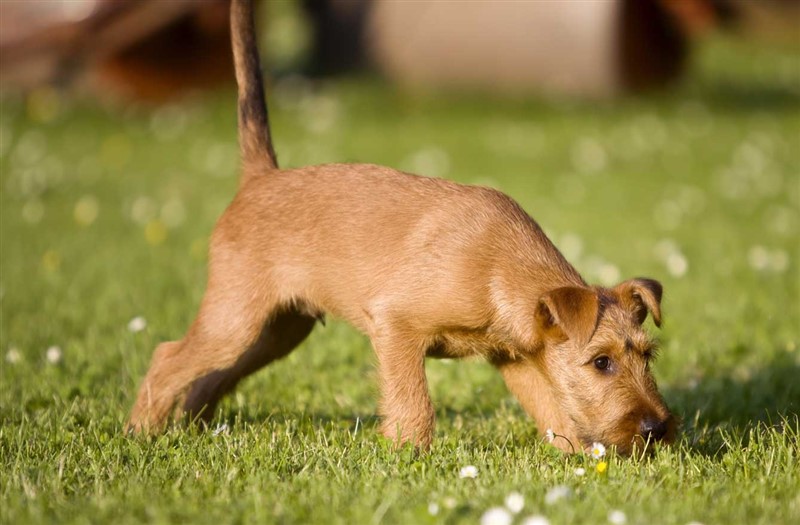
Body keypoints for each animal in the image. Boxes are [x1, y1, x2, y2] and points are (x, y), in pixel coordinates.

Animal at [126, 0, 676, 454]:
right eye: (601, 362)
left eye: (648, 356)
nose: (657, 430)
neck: (501, 268)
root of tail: (262, 176)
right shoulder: (396, 325)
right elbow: (414, 404)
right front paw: (409, 457)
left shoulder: (519, 359)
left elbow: (553, 412)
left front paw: (579, 462)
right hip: (237, 318)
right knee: (168, 356)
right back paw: (140, 432)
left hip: (275, 331)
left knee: (208, 374)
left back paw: (191, 429)